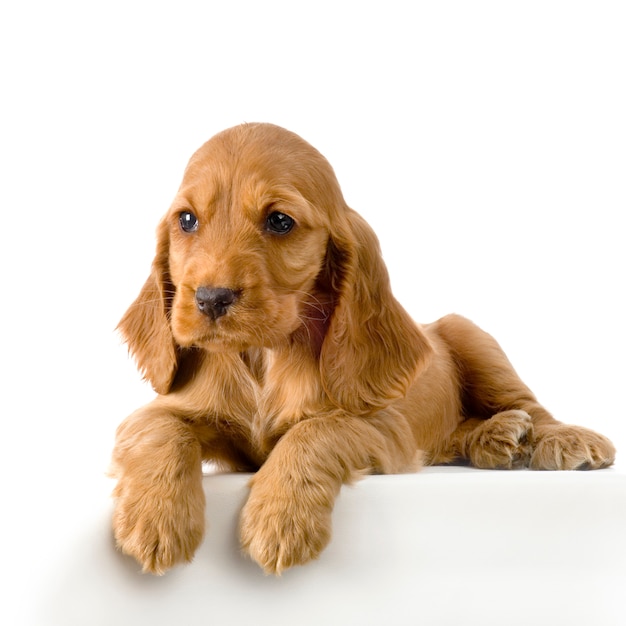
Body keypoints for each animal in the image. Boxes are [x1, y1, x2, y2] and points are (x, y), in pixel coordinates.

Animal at [112, 119, 616, 572]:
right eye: (187, 220)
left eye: (279, 221)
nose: (210, 299)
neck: (263, 356)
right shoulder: (163, 409)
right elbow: (162, 430)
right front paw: (152, 519)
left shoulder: (384, 428)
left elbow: (316, 430)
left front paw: (279, 519)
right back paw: (495, 438)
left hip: (472, 337)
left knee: (529, 407)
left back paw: (559, 439)